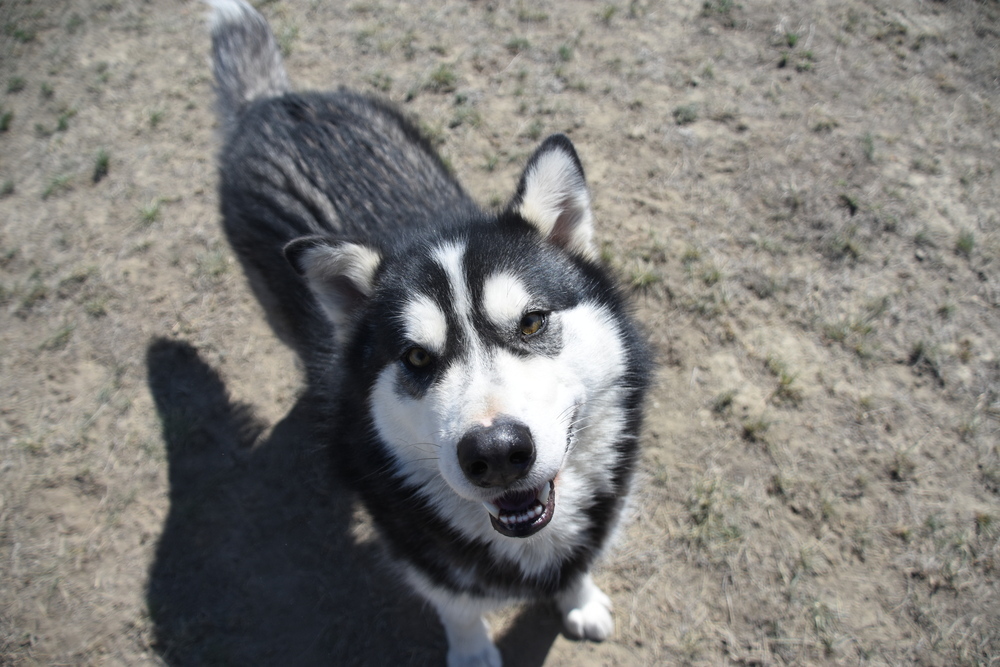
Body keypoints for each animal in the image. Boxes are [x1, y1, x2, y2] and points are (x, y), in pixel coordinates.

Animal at [207, 2, 652, 664]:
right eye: (417, 358)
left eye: (532, 321)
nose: (497, 454)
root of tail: (271, 103)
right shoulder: (422, 554)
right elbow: (459, 608)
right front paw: (472, 652)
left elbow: (577, 561)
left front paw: (579, 598)